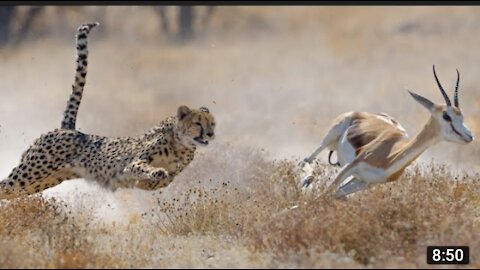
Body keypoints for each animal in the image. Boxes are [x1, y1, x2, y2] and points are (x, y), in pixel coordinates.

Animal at [0, 22, 216, 200]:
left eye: (212, 124)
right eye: (198, 123)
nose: (211, 135)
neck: (181, 145)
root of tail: (67, 128)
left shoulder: (170, 173)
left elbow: (164, 180)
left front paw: (151, 180)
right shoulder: (133, 163)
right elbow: (145, 168)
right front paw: (155, 173)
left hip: (39, 181)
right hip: (29, 173)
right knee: (4, 186)